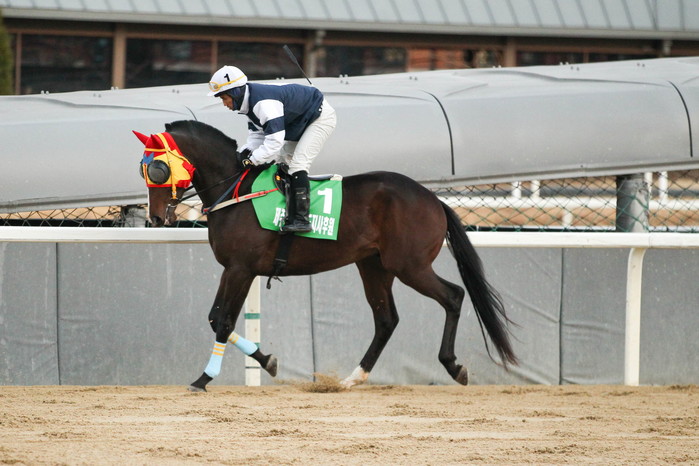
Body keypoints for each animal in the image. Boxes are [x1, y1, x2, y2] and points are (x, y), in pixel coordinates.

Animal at [134, 120, 517, 391]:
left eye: (157, 169)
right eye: (144, 168)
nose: (156, 218)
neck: (236, 191)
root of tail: (434, 199)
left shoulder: (241, 268)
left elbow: (224, 321)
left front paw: (203, 379)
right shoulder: (235, 269)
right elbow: (216, 318)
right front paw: (268, 360)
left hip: (410, 265)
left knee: (453, 296)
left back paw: (453, 365)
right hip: (374, 265)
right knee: (386, 319)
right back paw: (353, 378)